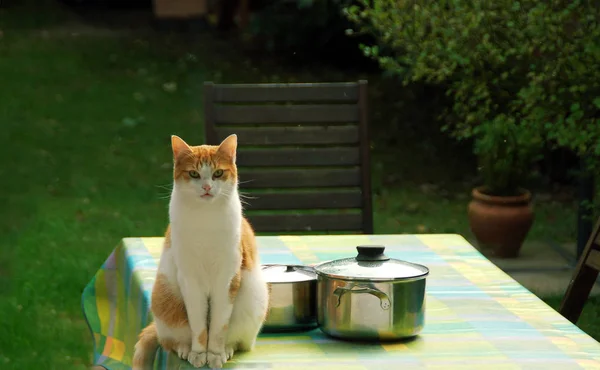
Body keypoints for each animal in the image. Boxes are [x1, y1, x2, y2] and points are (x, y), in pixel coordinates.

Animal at [135, 134, 270, 368]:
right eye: (194, 174)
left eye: (218, 173)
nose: (207, 187)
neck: (206, 220)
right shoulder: (190, 280)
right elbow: (198, 326)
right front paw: (199, 353)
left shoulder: (227, 280)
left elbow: (217, 327)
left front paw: (214, 354)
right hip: (165, 298)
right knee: (170, 341)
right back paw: (184, 349)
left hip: (253, 301)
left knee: (238, 341)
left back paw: (227, 349)